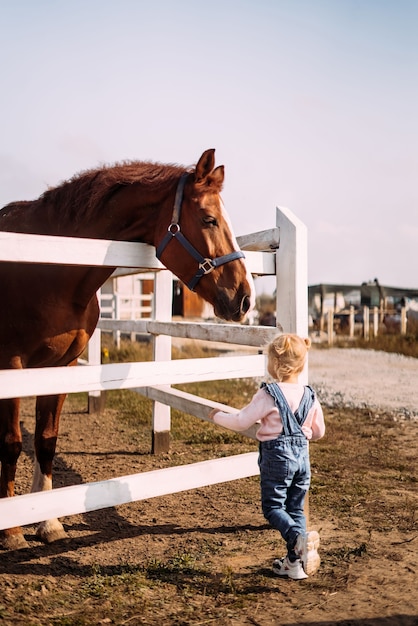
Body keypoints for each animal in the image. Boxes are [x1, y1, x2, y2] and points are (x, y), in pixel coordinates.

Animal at [0, 147, 255, 544]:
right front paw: (11, 529)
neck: (49, 264)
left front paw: (47, 520)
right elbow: (12, 443)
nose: (244, 297)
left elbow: (46, 439)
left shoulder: (60, 366)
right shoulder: (11, 364)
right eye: (209, 219)